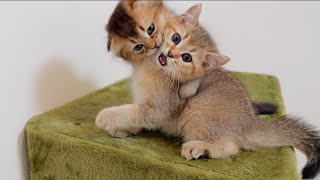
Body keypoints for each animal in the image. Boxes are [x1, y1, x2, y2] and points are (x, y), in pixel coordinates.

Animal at [155, 3, 320, 179]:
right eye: (176, 38)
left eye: (186, 58)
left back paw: (199, 149)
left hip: (198, 111)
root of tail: (251, 121)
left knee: (232, 146)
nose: (170, 53)